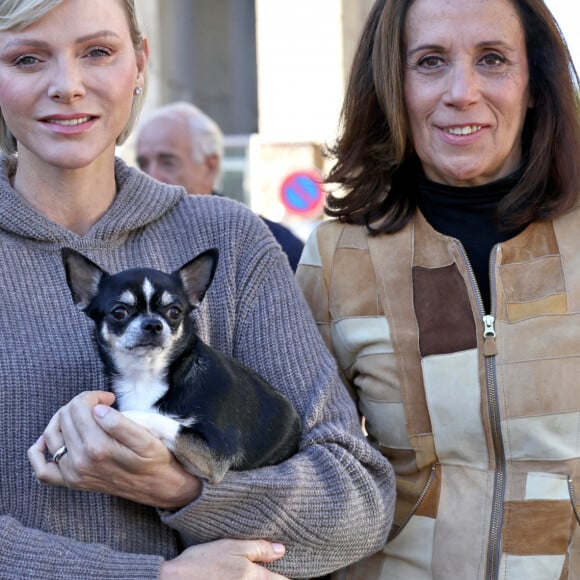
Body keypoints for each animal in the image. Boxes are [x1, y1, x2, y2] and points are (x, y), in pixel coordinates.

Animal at [61, 247, 302, 482]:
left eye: (174, 312)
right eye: (119, 312)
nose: (153, 324)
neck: (145, 375)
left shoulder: (215, 456)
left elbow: (162, 422)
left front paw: (121, 417)